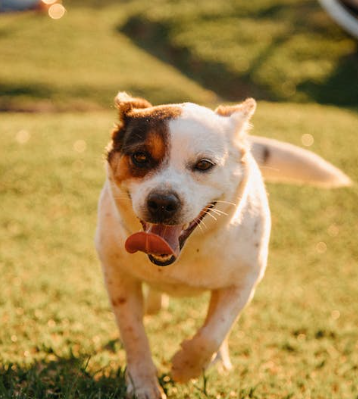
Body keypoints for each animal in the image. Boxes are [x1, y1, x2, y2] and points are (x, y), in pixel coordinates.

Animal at [94, 91, 350, 399]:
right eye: (140, 157)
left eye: (204, 164)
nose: (162, 202)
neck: (187, 251)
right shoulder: (118, 276)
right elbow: (134, 333)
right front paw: (143, 385)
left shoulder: (242, 283)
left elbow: (213, 332)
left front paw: (186, 367)